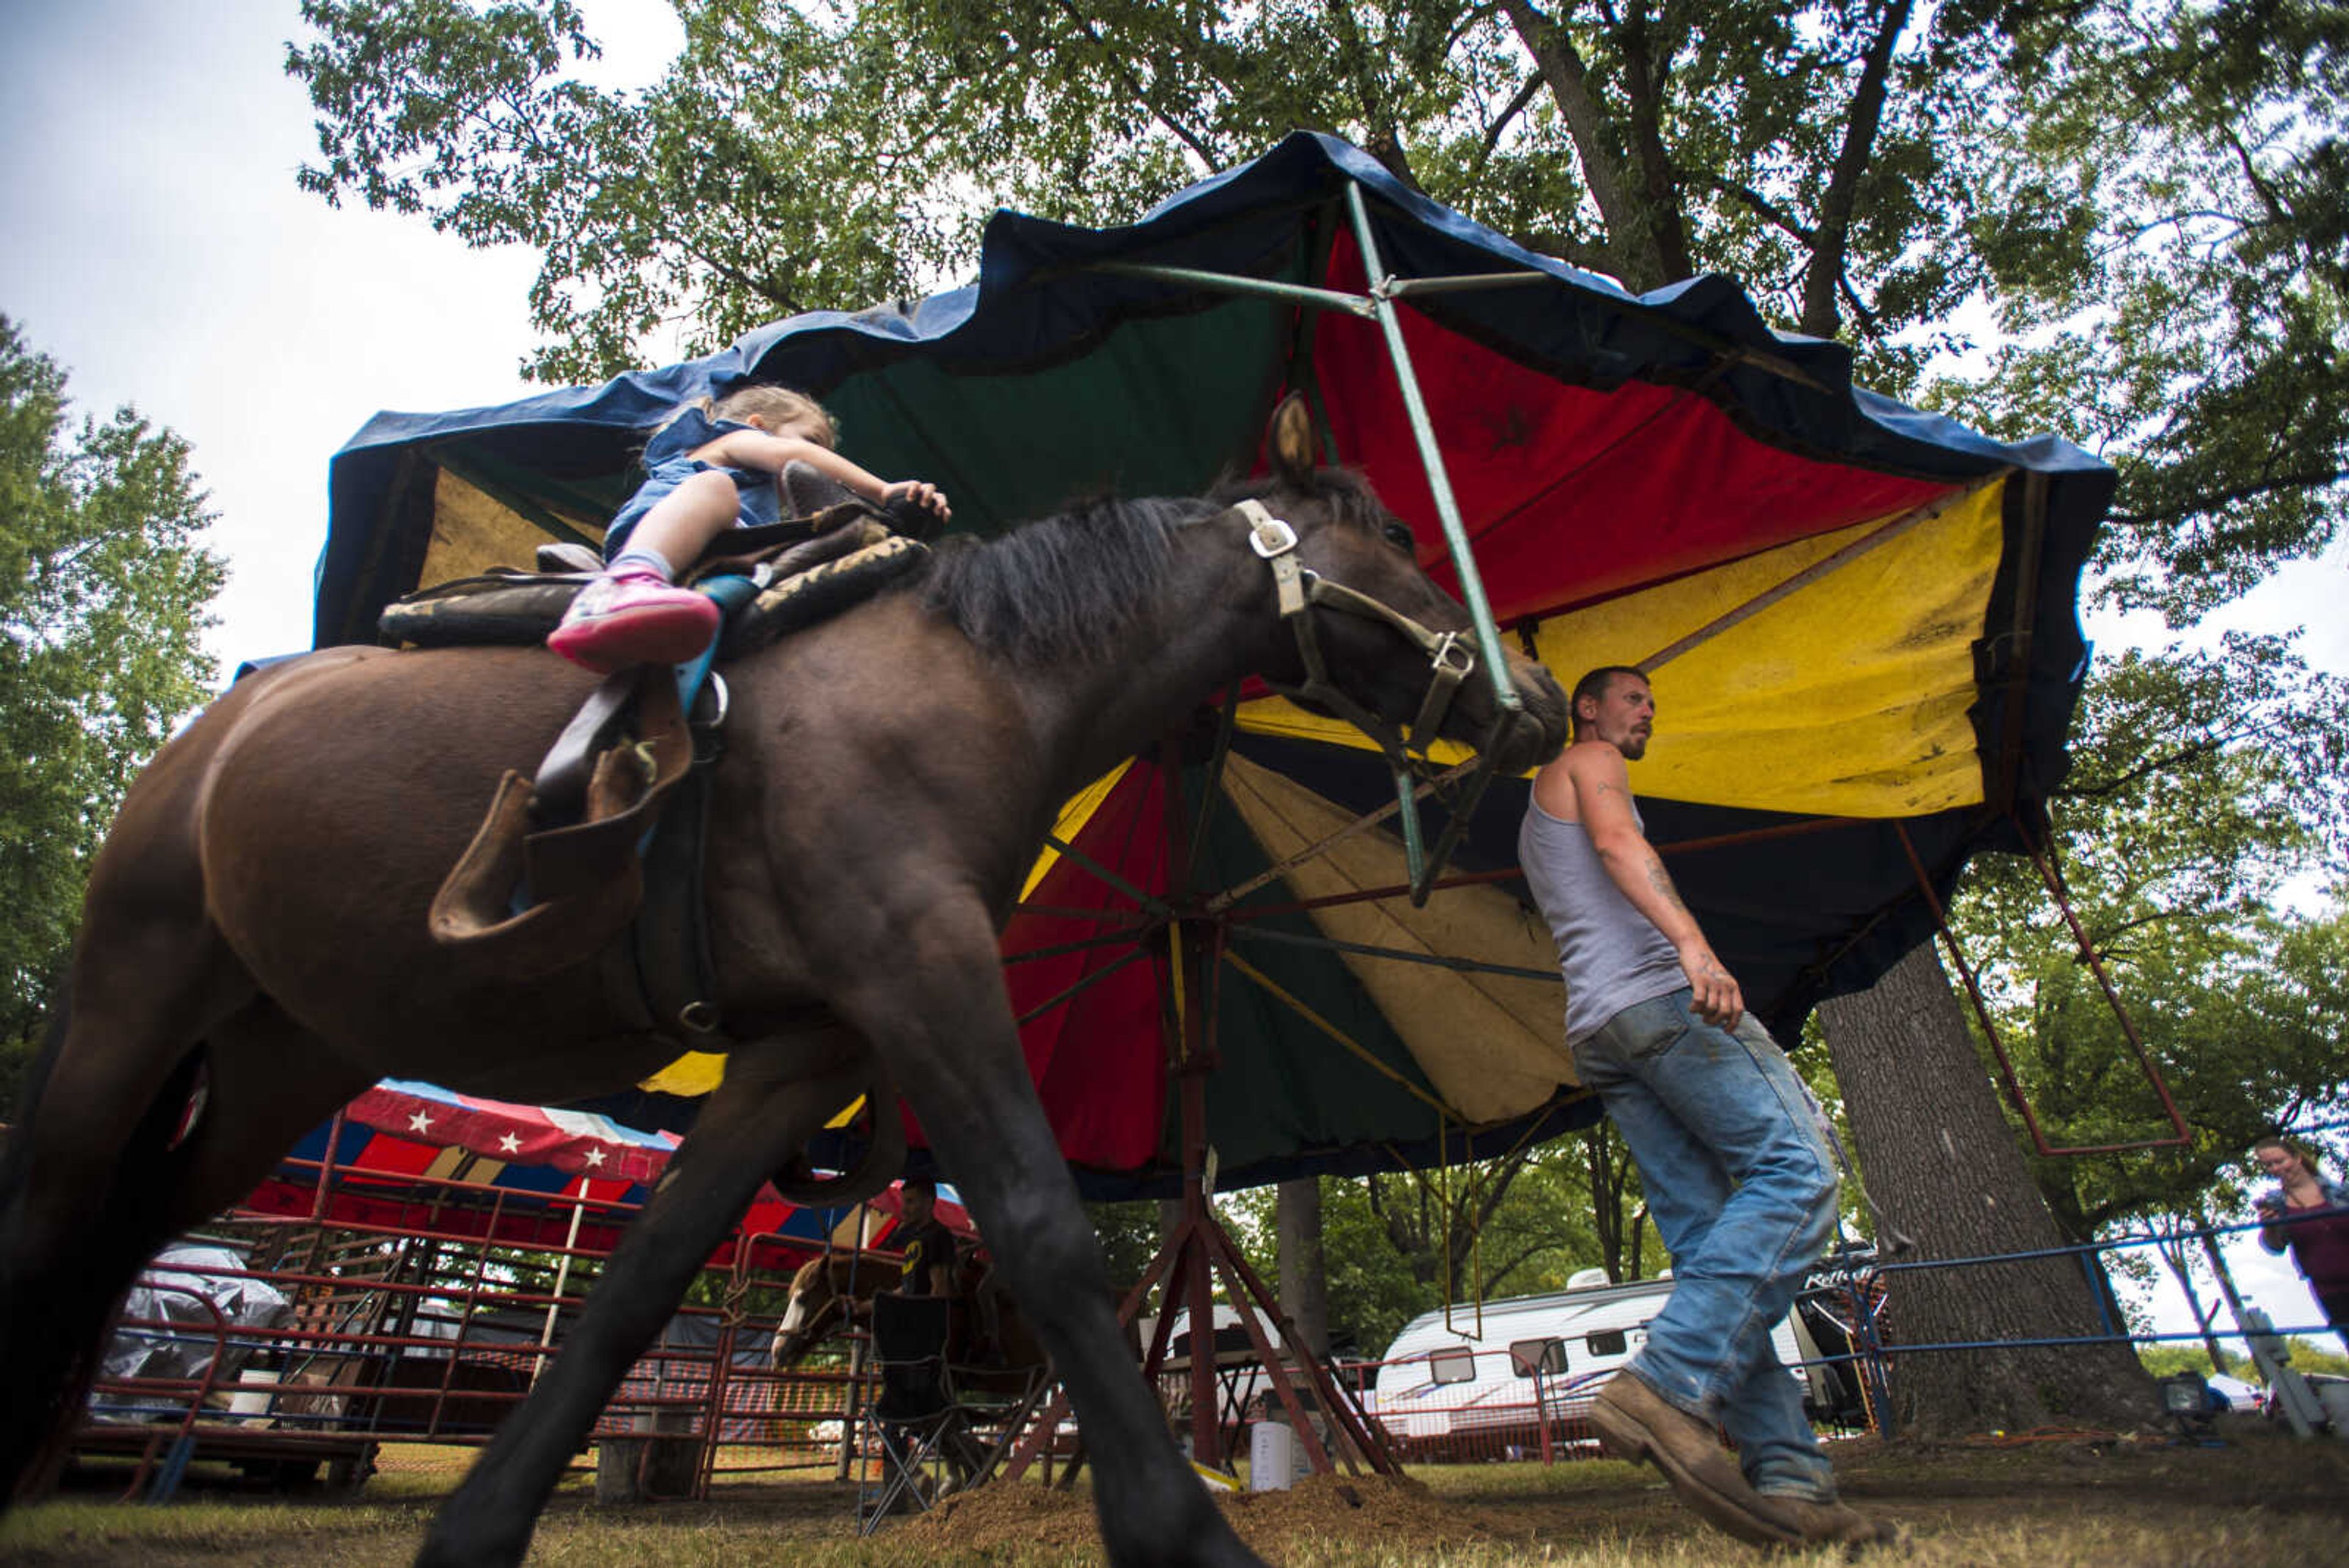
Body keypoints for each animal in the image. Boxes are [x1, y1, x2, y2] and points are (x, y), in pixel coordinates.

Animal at [9, 409, 1569, 1568]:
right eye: (1393, 537)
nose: (1540, 704)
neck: (980, 677)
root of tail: (220, 720)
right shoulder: (920, 969)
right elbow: (1046, 1233)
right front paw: (1182, 1531)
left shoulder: (801, 1054)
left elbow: (638, 1288)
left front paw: (477, 1527)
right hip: (130, 1001)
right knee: (54, 1212)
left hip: (281, 1059)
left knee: (128, 1229)